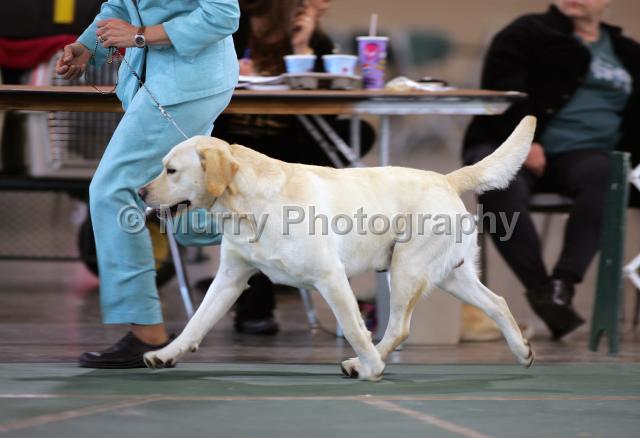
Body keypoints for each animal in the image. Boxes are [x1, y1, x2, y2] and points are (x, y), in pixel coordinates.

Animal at [140, 116, 537, 381]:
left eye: (171, 170)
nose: (141, 192)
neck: (249, 205)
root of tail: (445, 178)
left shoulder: (330, 277)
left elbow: (353, 327)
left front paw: (371, 368)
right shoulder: (230, 279)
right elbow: (196, 323)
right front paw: (165, 354)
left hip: (406, 270)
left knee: (399, 328)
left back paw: (363, 363)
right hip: (449, 276)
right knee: (497, 303)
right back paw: (522, 351)